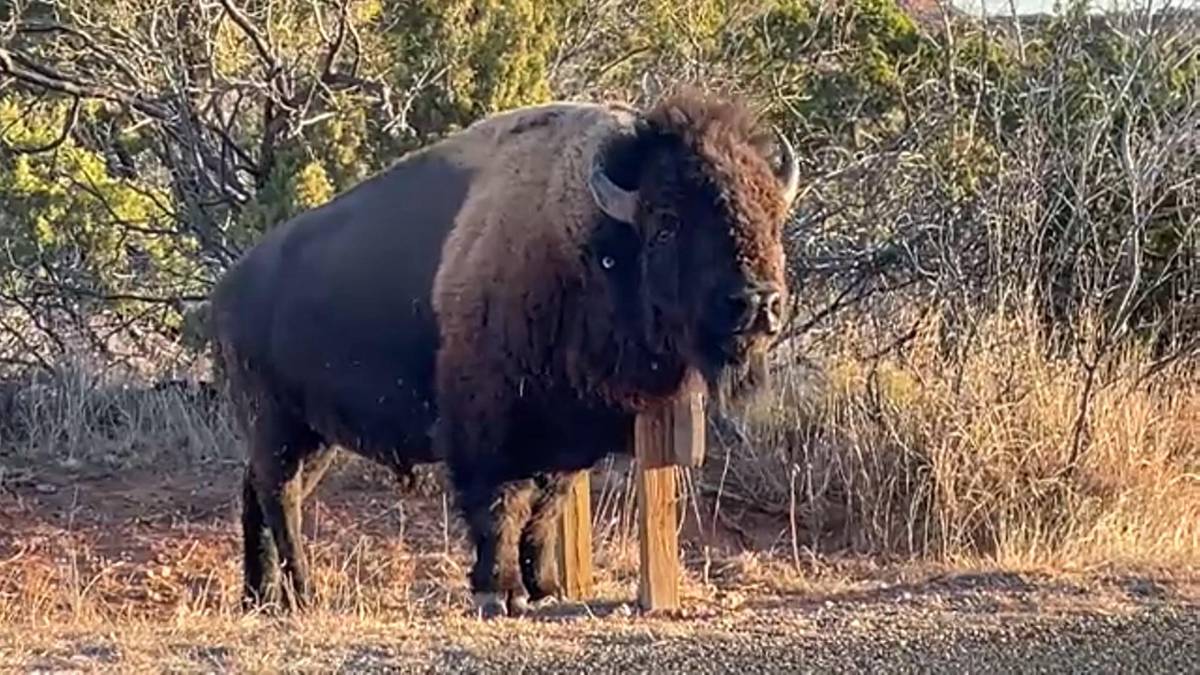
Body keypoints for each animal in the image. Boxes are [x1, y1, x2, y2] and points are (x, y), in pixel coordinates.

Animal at [211, 88, 801, 614]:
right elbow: (501, 506)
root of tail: (228, 289)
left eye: (773, 215)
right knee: (279, 498)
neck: (590, 243)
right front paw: (499, 592)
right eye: (667, 223)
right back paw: (303, 594)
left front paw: (545, 587)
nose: (757, 303)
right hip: (279, 426)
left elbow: (544, 510)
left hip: (313, 438)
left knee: (257, 493)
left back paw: (260, 596)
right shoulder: (490, 430)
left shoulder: (563, 442)